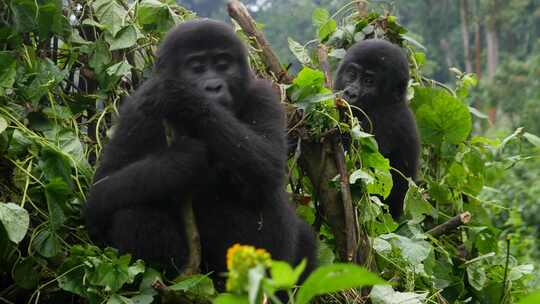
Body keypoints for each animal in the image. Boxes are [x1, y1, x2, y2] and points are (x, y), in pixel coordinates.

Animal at [84, 20, 316, 286]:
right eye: (196, 67)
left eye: (223, 64)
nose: (213, 86)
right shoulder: (136, 109)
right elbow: (99, 193)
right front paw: (180, 161)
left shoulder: (264, 94)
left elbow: (270, 164)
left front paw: (183, 98)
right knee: (132, 213)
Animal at [334, 39, 422, 218]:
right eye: (352, 75)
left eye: (369, 82)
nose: (350, 93)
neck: (388, 102)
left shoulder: (386, 122)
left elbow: (356, 169)